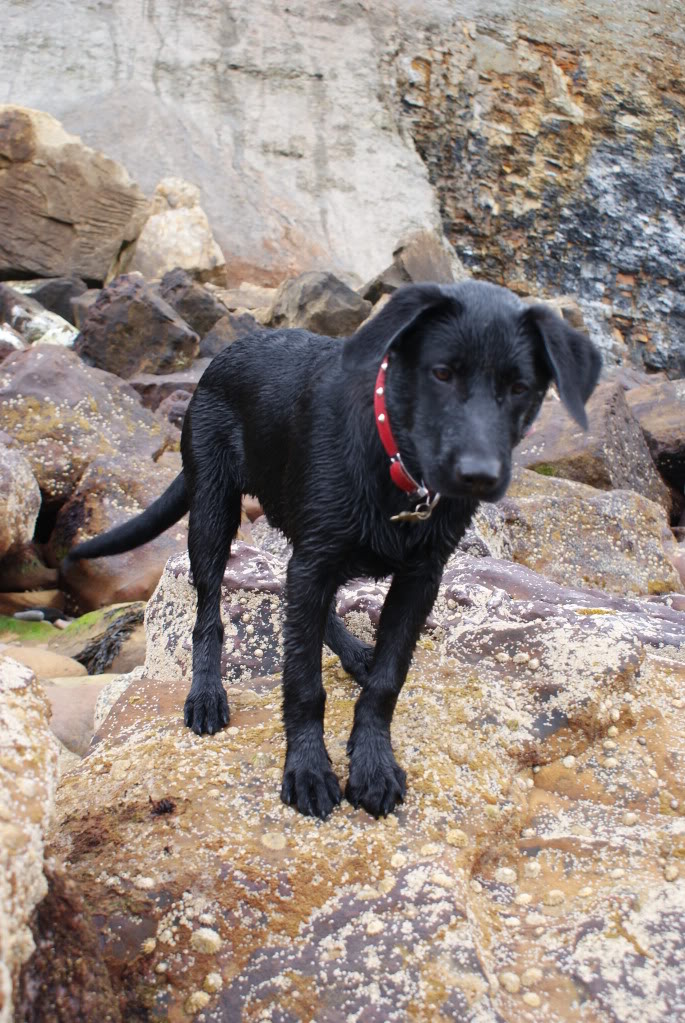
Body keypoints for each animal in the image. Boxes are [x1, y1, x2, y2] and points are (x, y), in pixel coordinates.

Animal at [65, 284, 601, 818]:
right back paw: (207, 694)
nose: (478, 476)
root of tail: (222, 358)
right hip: (213, 509)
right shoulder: (317, 561)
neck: (396, 466)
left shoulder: (418, 578)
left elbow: (387, 680)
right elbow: (303, 684)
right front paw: (307, 770)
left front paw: (373, 764)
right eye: (442, 373)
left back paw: (354, 653)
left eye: (520, 388)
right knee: (209, 611)